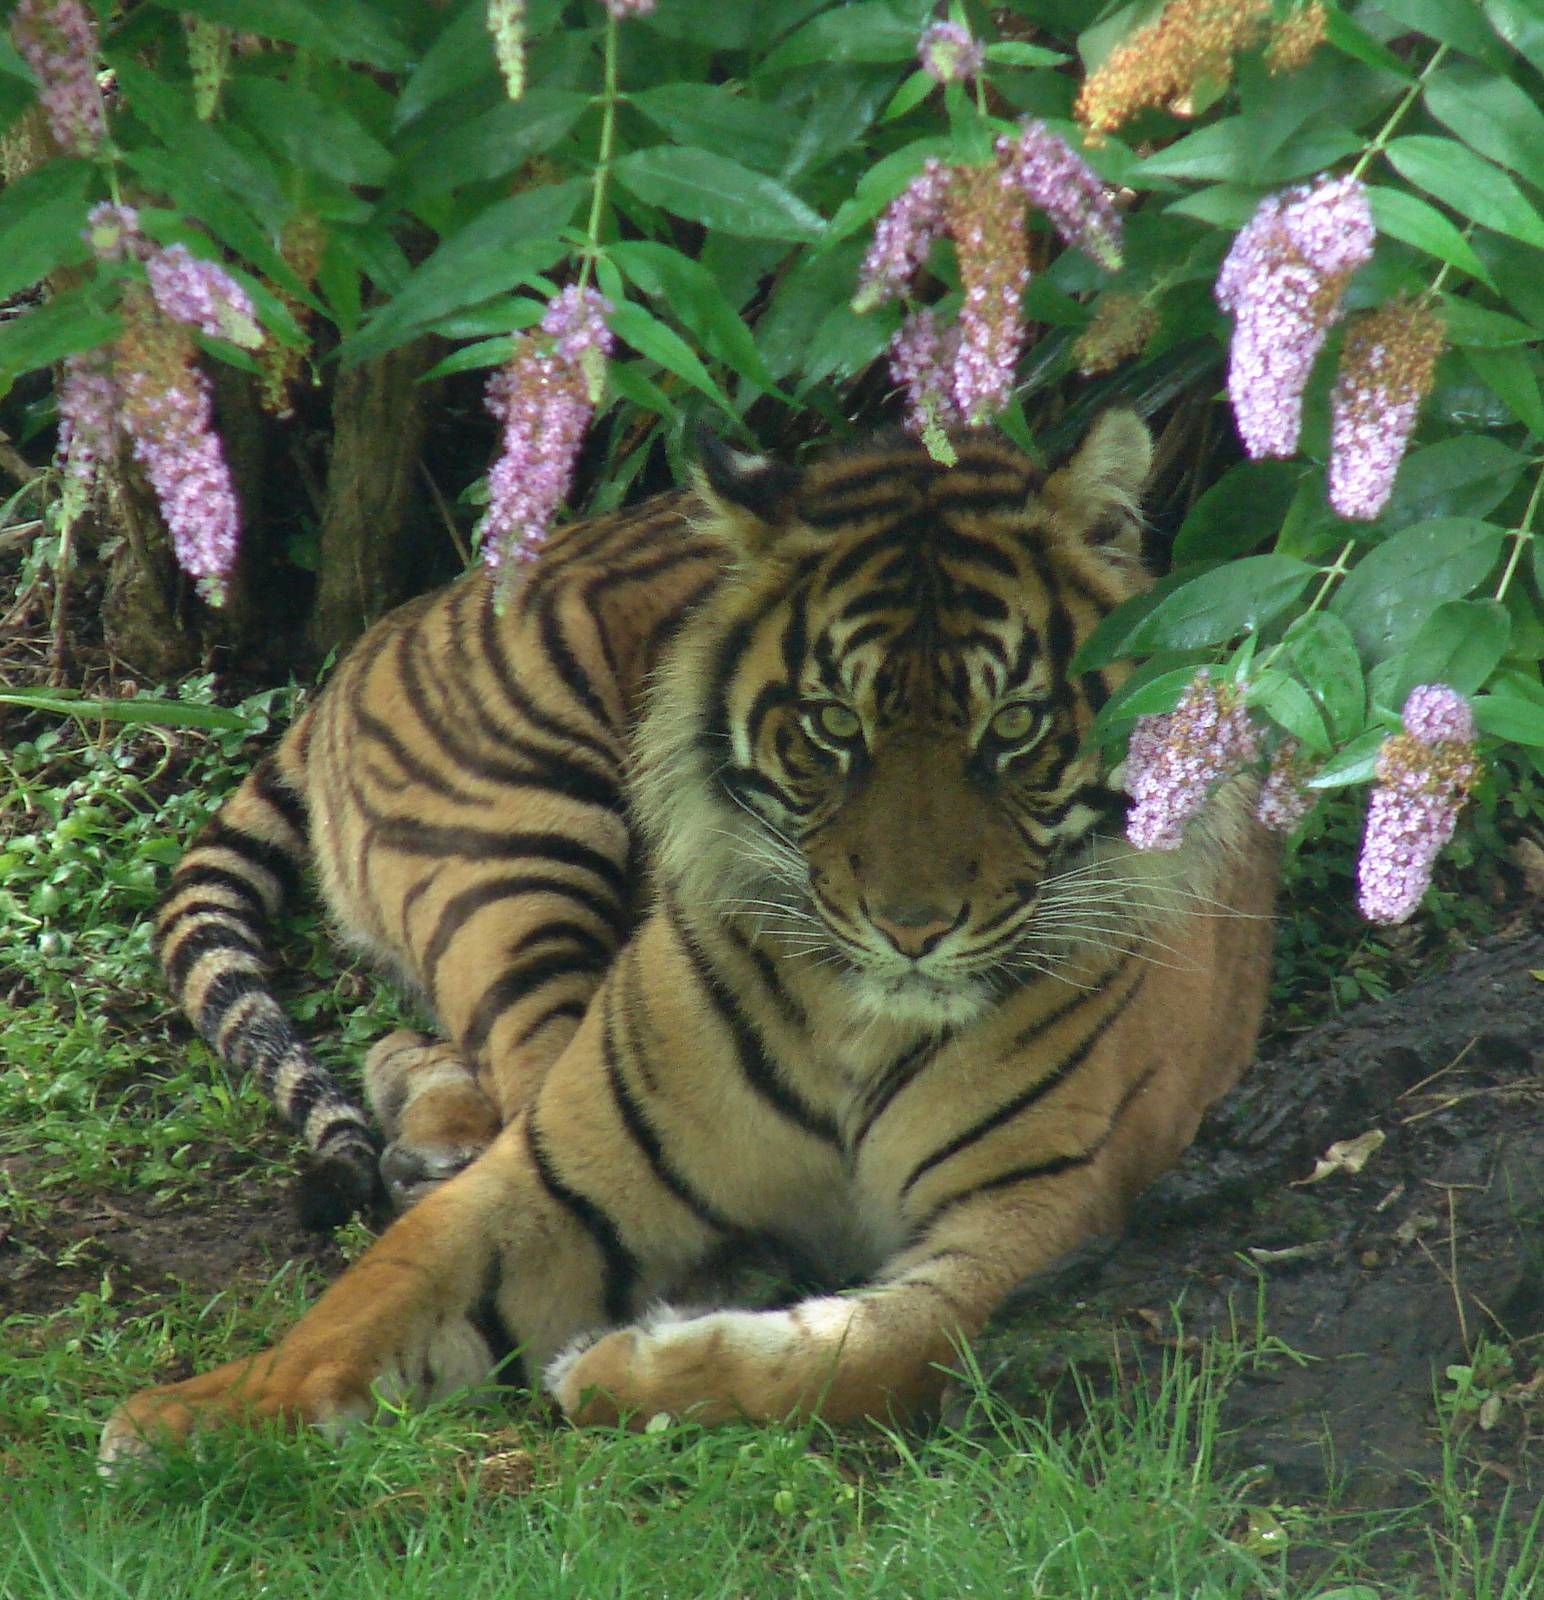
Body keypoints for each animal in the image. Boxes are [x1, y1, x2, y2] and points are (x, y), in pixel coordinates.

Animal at [101, 412, 1278, 1461]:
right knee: (506, 1058)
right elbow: (381, 1286)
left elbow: (876, 1351)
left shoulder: (1039, 1211)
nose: (912, 928)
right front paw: (191, 1421)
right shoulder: (571, 1173)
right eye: (833, 726)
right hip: (520, 839)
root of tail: (387, 624)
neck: (864, 1028)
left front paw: (619, 1365)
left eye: (1016, 727)